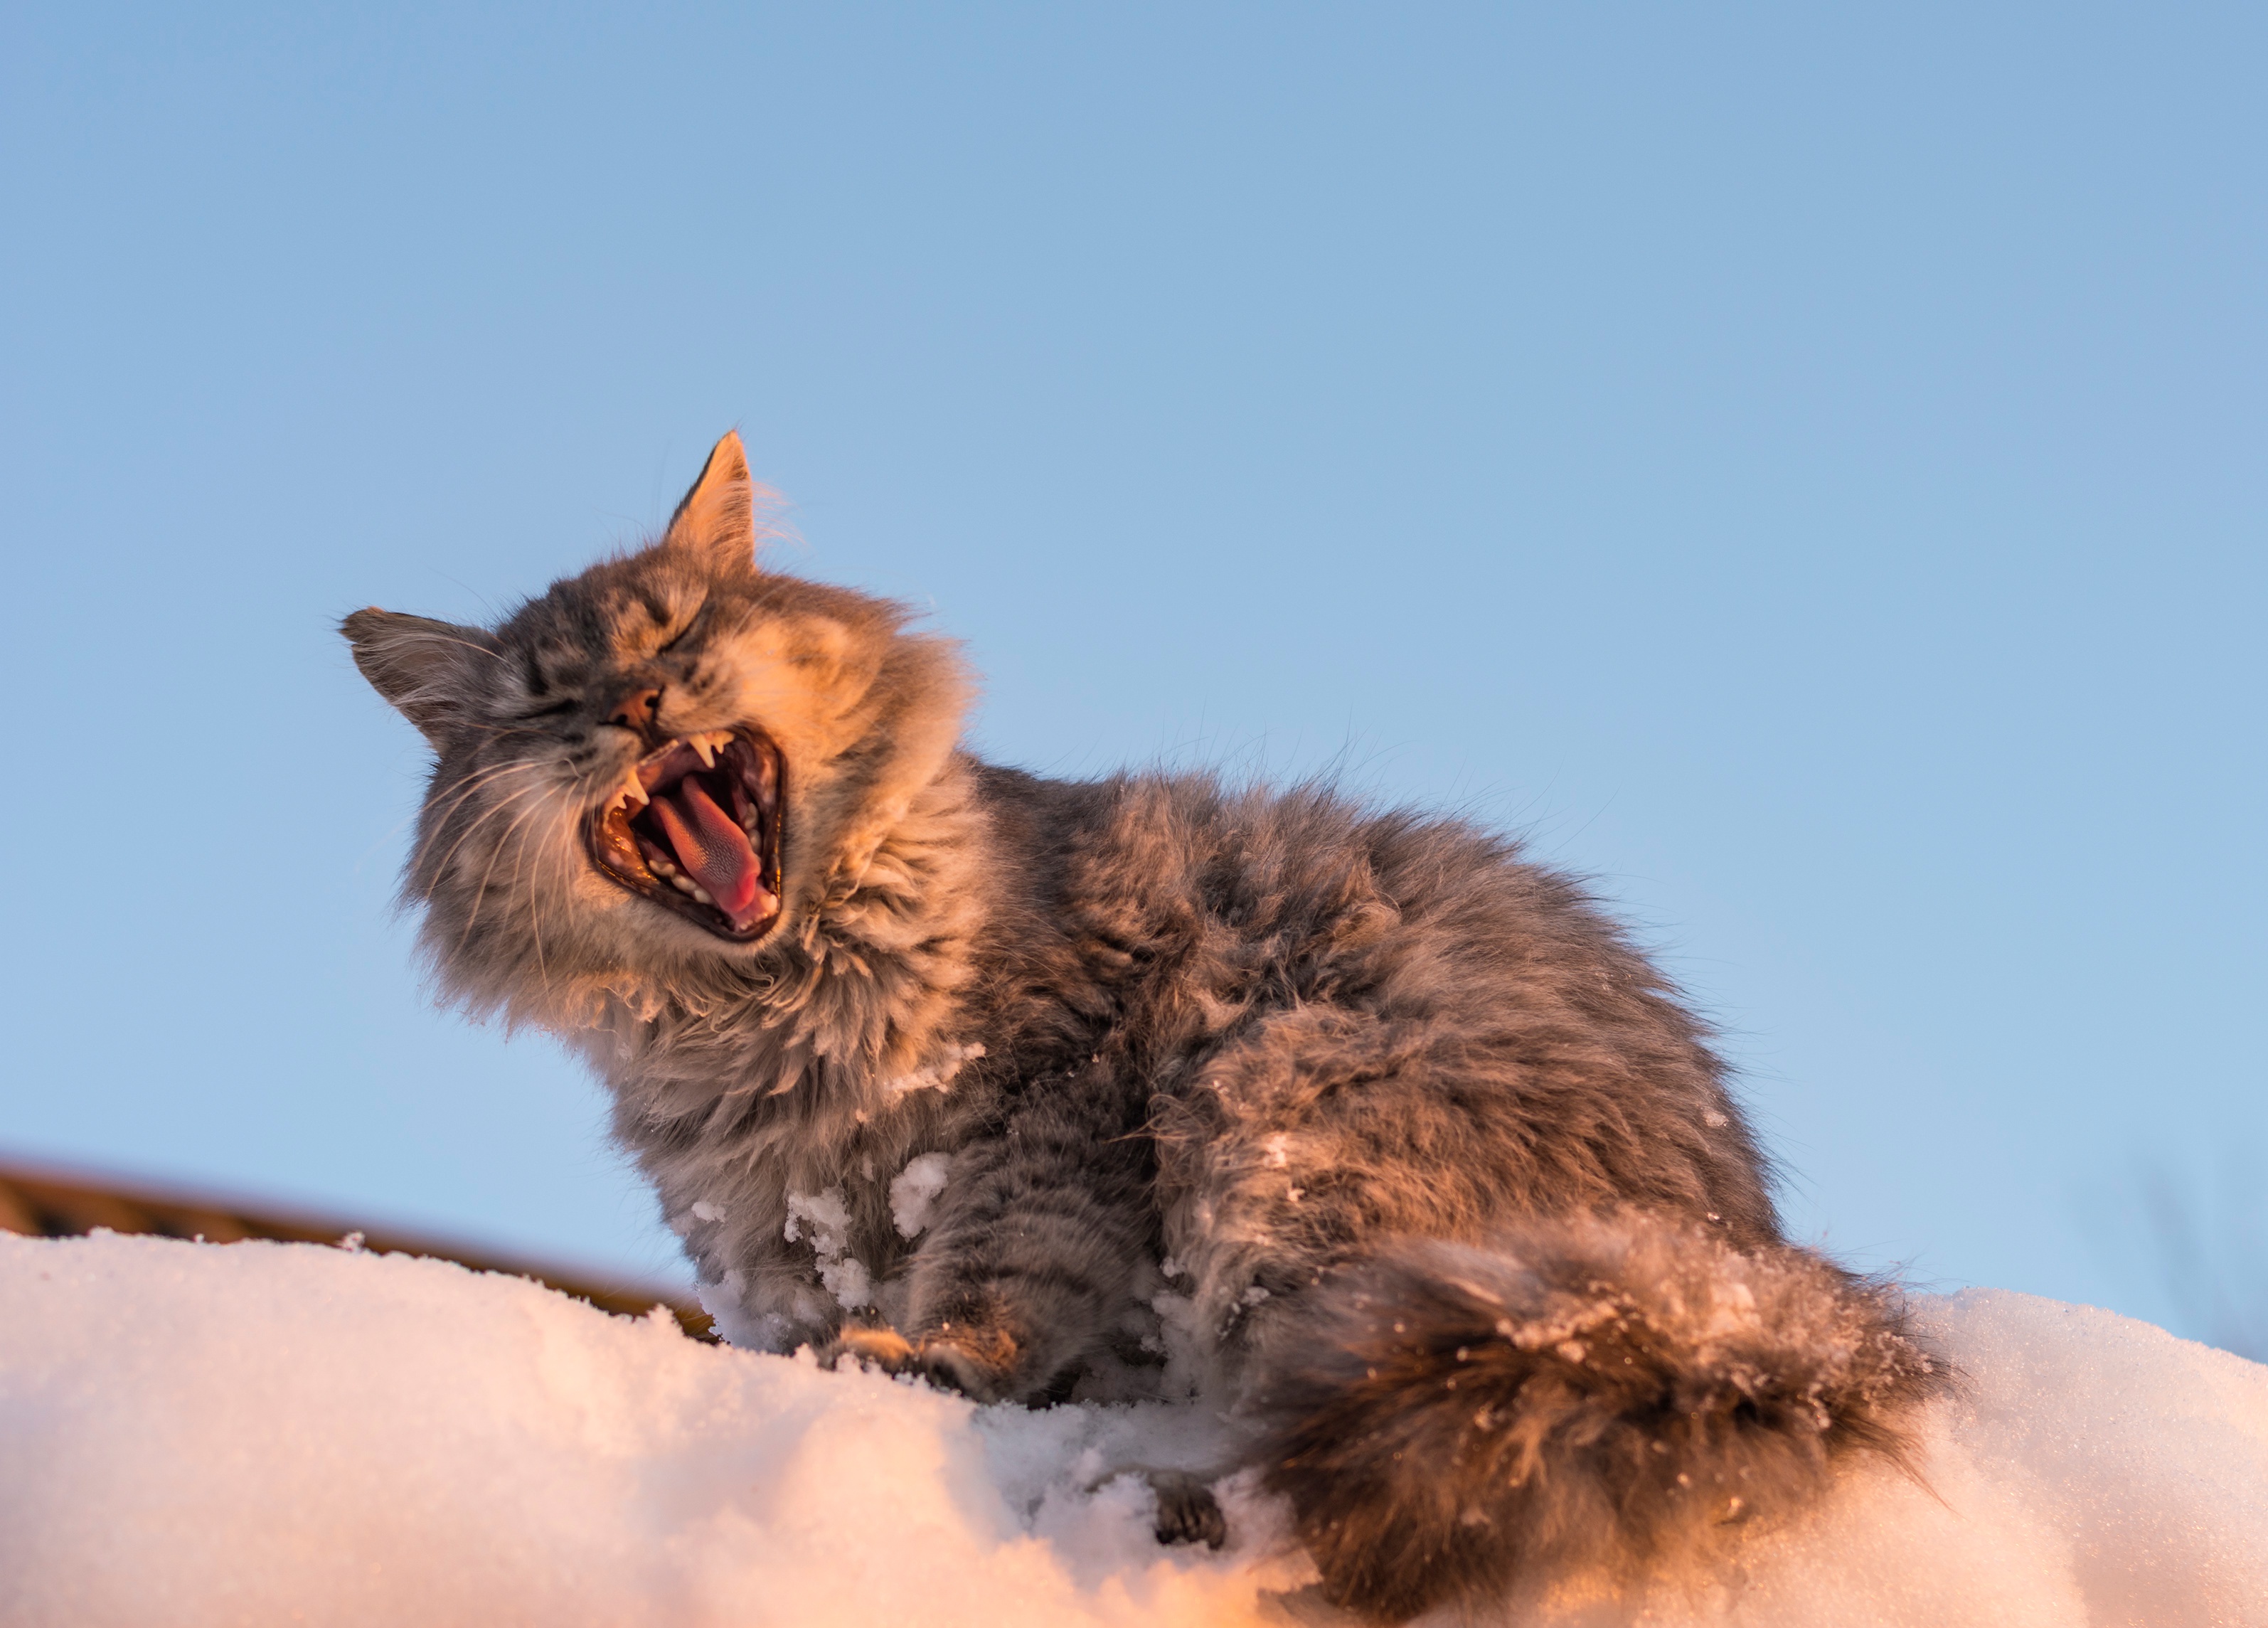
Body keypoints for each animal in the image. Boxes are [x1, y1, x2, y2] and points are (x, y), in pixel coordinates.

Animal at [344, 430, 1941, 1623]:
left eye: (673, 631)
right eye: (542, 705)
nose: (633, 704)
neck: (767, 1003)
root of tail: (1745, 1277)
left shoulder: (1053, 1092)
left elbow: (1001, 1284)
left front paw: (936, 1356)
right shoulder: (759, 1236)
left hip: (1291, 1113)